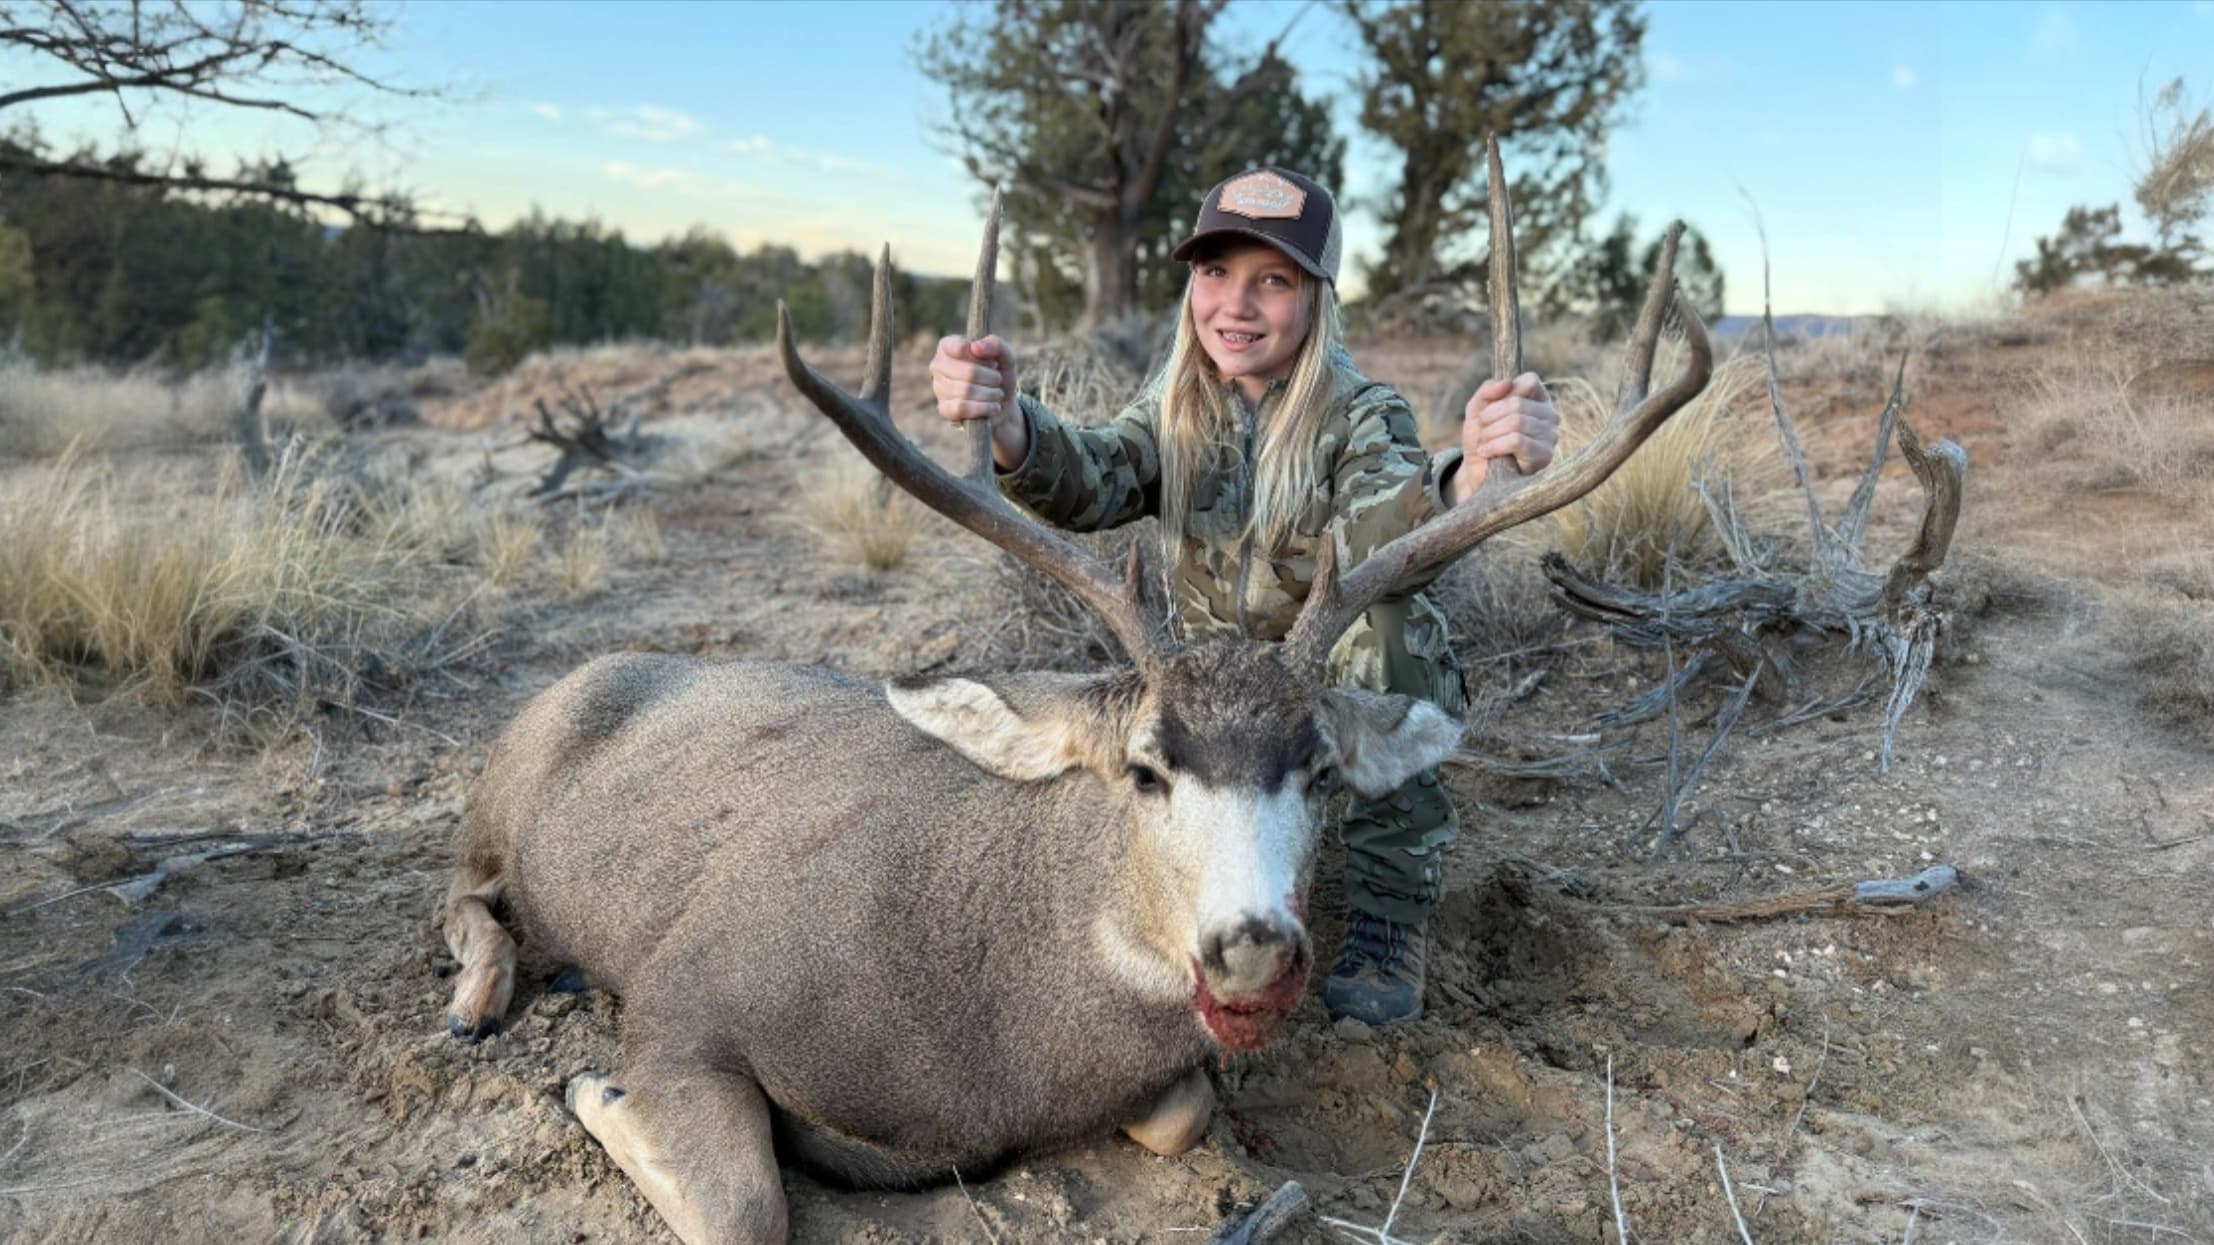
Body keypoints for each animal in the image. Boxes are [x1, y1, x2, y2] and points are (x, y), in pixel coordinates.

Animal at [436, 141, 1713, 1245]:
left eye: (1321, 771)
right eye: (1146, 766)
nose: (1253, 951)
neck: (994, 1028)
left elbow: (1182, 1110)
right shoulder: (689, 991)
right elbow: (745, 1206)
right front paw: (592, 1090)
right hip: (499, 797)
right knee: (468, 893)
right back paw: (480, 995)